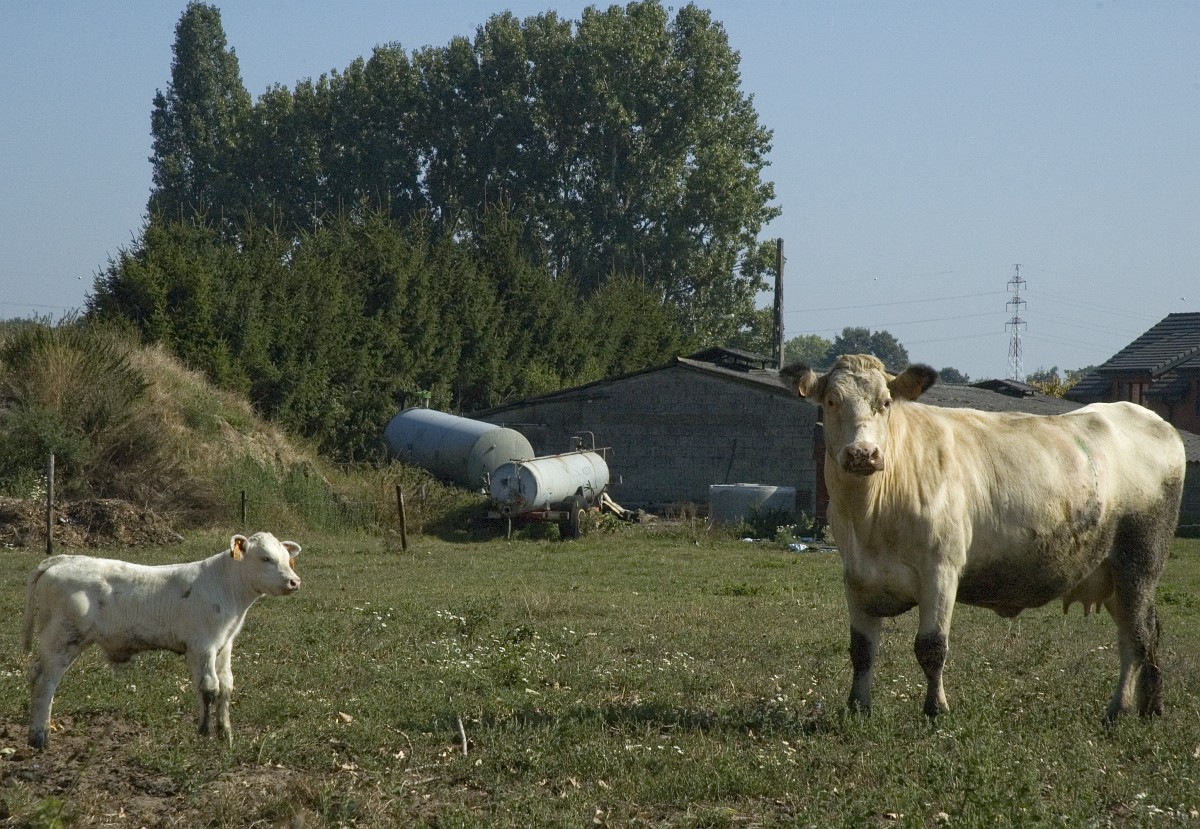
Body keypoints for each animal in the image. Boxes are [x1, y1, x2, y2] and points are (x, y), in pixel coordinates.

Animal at [21, 532, 302, 748]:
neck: (227, 589)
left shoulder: (224, 645)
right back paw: (40, 736)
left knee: (36, 675)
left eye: (287, 559)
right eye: (265, 558)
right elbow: (209, 688)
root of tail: (65, 559)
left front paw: (226, 735)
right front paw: (204, 732)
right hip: (63, 638)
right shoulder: (202, 645)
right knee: (46, 680)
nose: (294, 581)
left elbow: (225, 686)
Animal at [781, 354, 1185, 721]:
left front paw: (936, 709)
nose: (863, 454)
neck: (870, 518)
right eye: (831, 402)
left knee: (1137, 637)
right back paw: (1149, 706)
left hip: (1140, 562)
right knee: (1142, 633)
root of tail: (1149, 417)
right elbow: (862, 650)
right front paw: (857, 708)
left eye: (885, 403)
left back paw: (1119, 710)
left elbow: (931, 648)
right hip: (1112, 574)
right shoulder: (856, 577)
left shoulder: (941, 571)